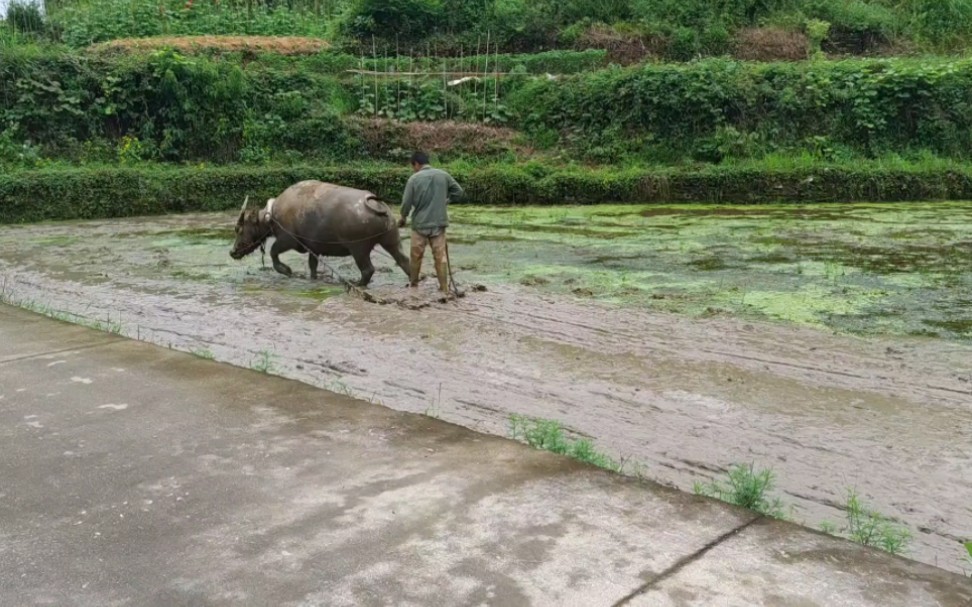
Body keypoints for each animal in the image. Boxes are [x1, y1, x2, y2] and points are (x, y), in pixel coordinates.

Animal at [231, 180, 410, 288]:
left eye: (239, 229)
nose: (232, 252)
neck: (272, 216)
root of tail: (376, 204)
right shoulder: (314, 249)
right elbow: (312, 266)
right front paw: (312, 278)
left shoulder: (287, 240)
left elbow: (273, 253)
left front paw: (286, 270)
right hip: (391, 239)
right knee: (404, 261)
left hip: (358, 248)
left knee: (368, 270)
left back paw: (357, 284)